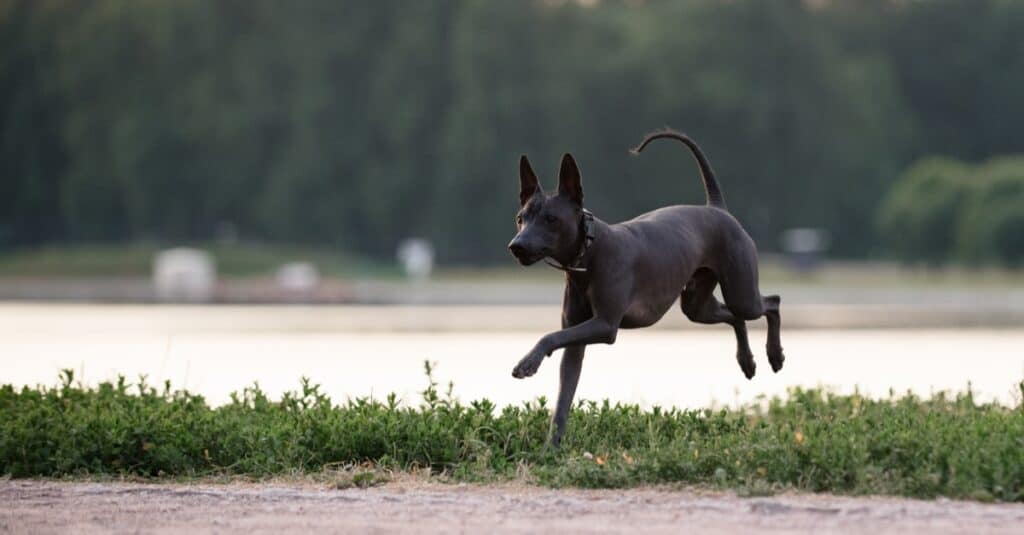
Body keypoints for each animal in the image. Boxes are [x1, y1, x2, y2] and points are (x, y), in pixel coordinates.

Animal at [505, 127, 782, 442]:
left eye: (551, 219)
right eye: (520, 218)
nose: (517, 246)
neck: (588, 254)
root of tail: (717, 209)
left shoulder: (605, 325)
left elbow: (549, 336)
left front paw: (528, 362)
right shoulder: (575, 341)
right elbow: (563, 399)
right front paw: (552, 447)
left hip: (741, 292)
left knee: (771, 302)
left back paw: (775, 355)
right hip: (697, 305)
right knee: (736, 317)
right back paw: (747, 361)